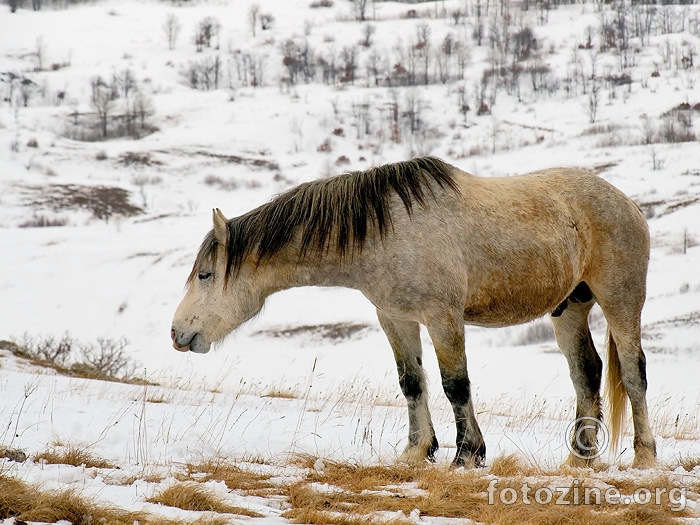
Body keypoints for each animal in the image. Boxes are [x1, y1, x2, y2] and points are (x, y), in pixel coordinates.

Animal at [170, 155, 656, 466]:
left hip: (620, 300)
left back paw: (645, 458)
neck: (384, 231)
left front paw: (467, 455)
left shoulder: (443, 318)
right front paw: (417, 451)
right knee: (586, 372)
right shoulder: (396, 318)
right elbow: (412, 383)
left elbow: (455, 385)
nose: (177, 334)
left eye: (206, 275)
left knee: (633, 373)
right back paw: (580, 458)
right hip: (569, 308)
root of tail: (627, 203)